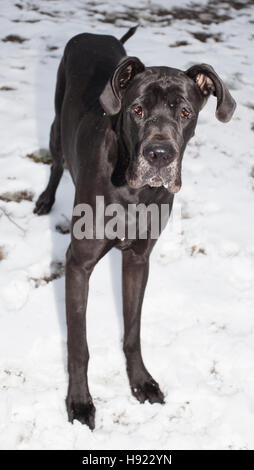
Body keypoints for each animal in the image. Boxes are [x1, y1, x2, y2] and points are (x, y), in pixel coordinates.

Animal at [33, 26, 236, 430]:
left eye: (185, 112)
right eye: (137, 110)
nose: (159, 155)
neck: (134, 189)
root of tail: (93, 33)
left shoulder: (139, 260)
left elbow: (132, 329)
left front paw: (141, 382)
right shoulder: (78, 264)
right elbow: (78, 345)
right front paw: (80, 402)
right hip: (56, 126)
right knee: (57, 162)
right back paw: (46, 199)